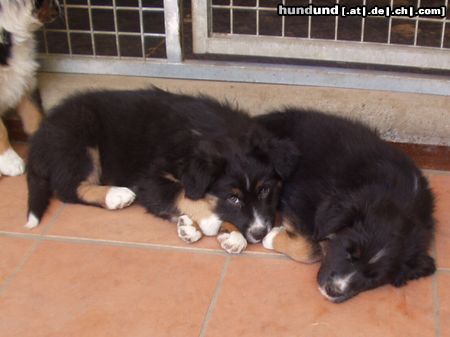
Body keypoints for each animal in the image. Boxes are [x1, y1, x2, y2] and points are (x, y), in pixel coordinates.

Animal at [25, 88, 298, 253]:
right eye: (233, 198)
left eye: (265, 191)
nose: (260, 232)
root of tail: (40, 136)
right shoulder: (150, 179)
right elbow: (182, 195)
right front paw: (215, 223)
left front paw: (231, 235)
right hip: (81, 136)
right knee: (70, 188)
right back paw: (116, 195)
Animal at [256, 109, 436, 302]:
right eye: (349, 253)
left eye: (373, 277)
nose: (333, 291)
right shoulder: (302, 197)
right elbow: (310, 248)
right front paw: (272, 236)